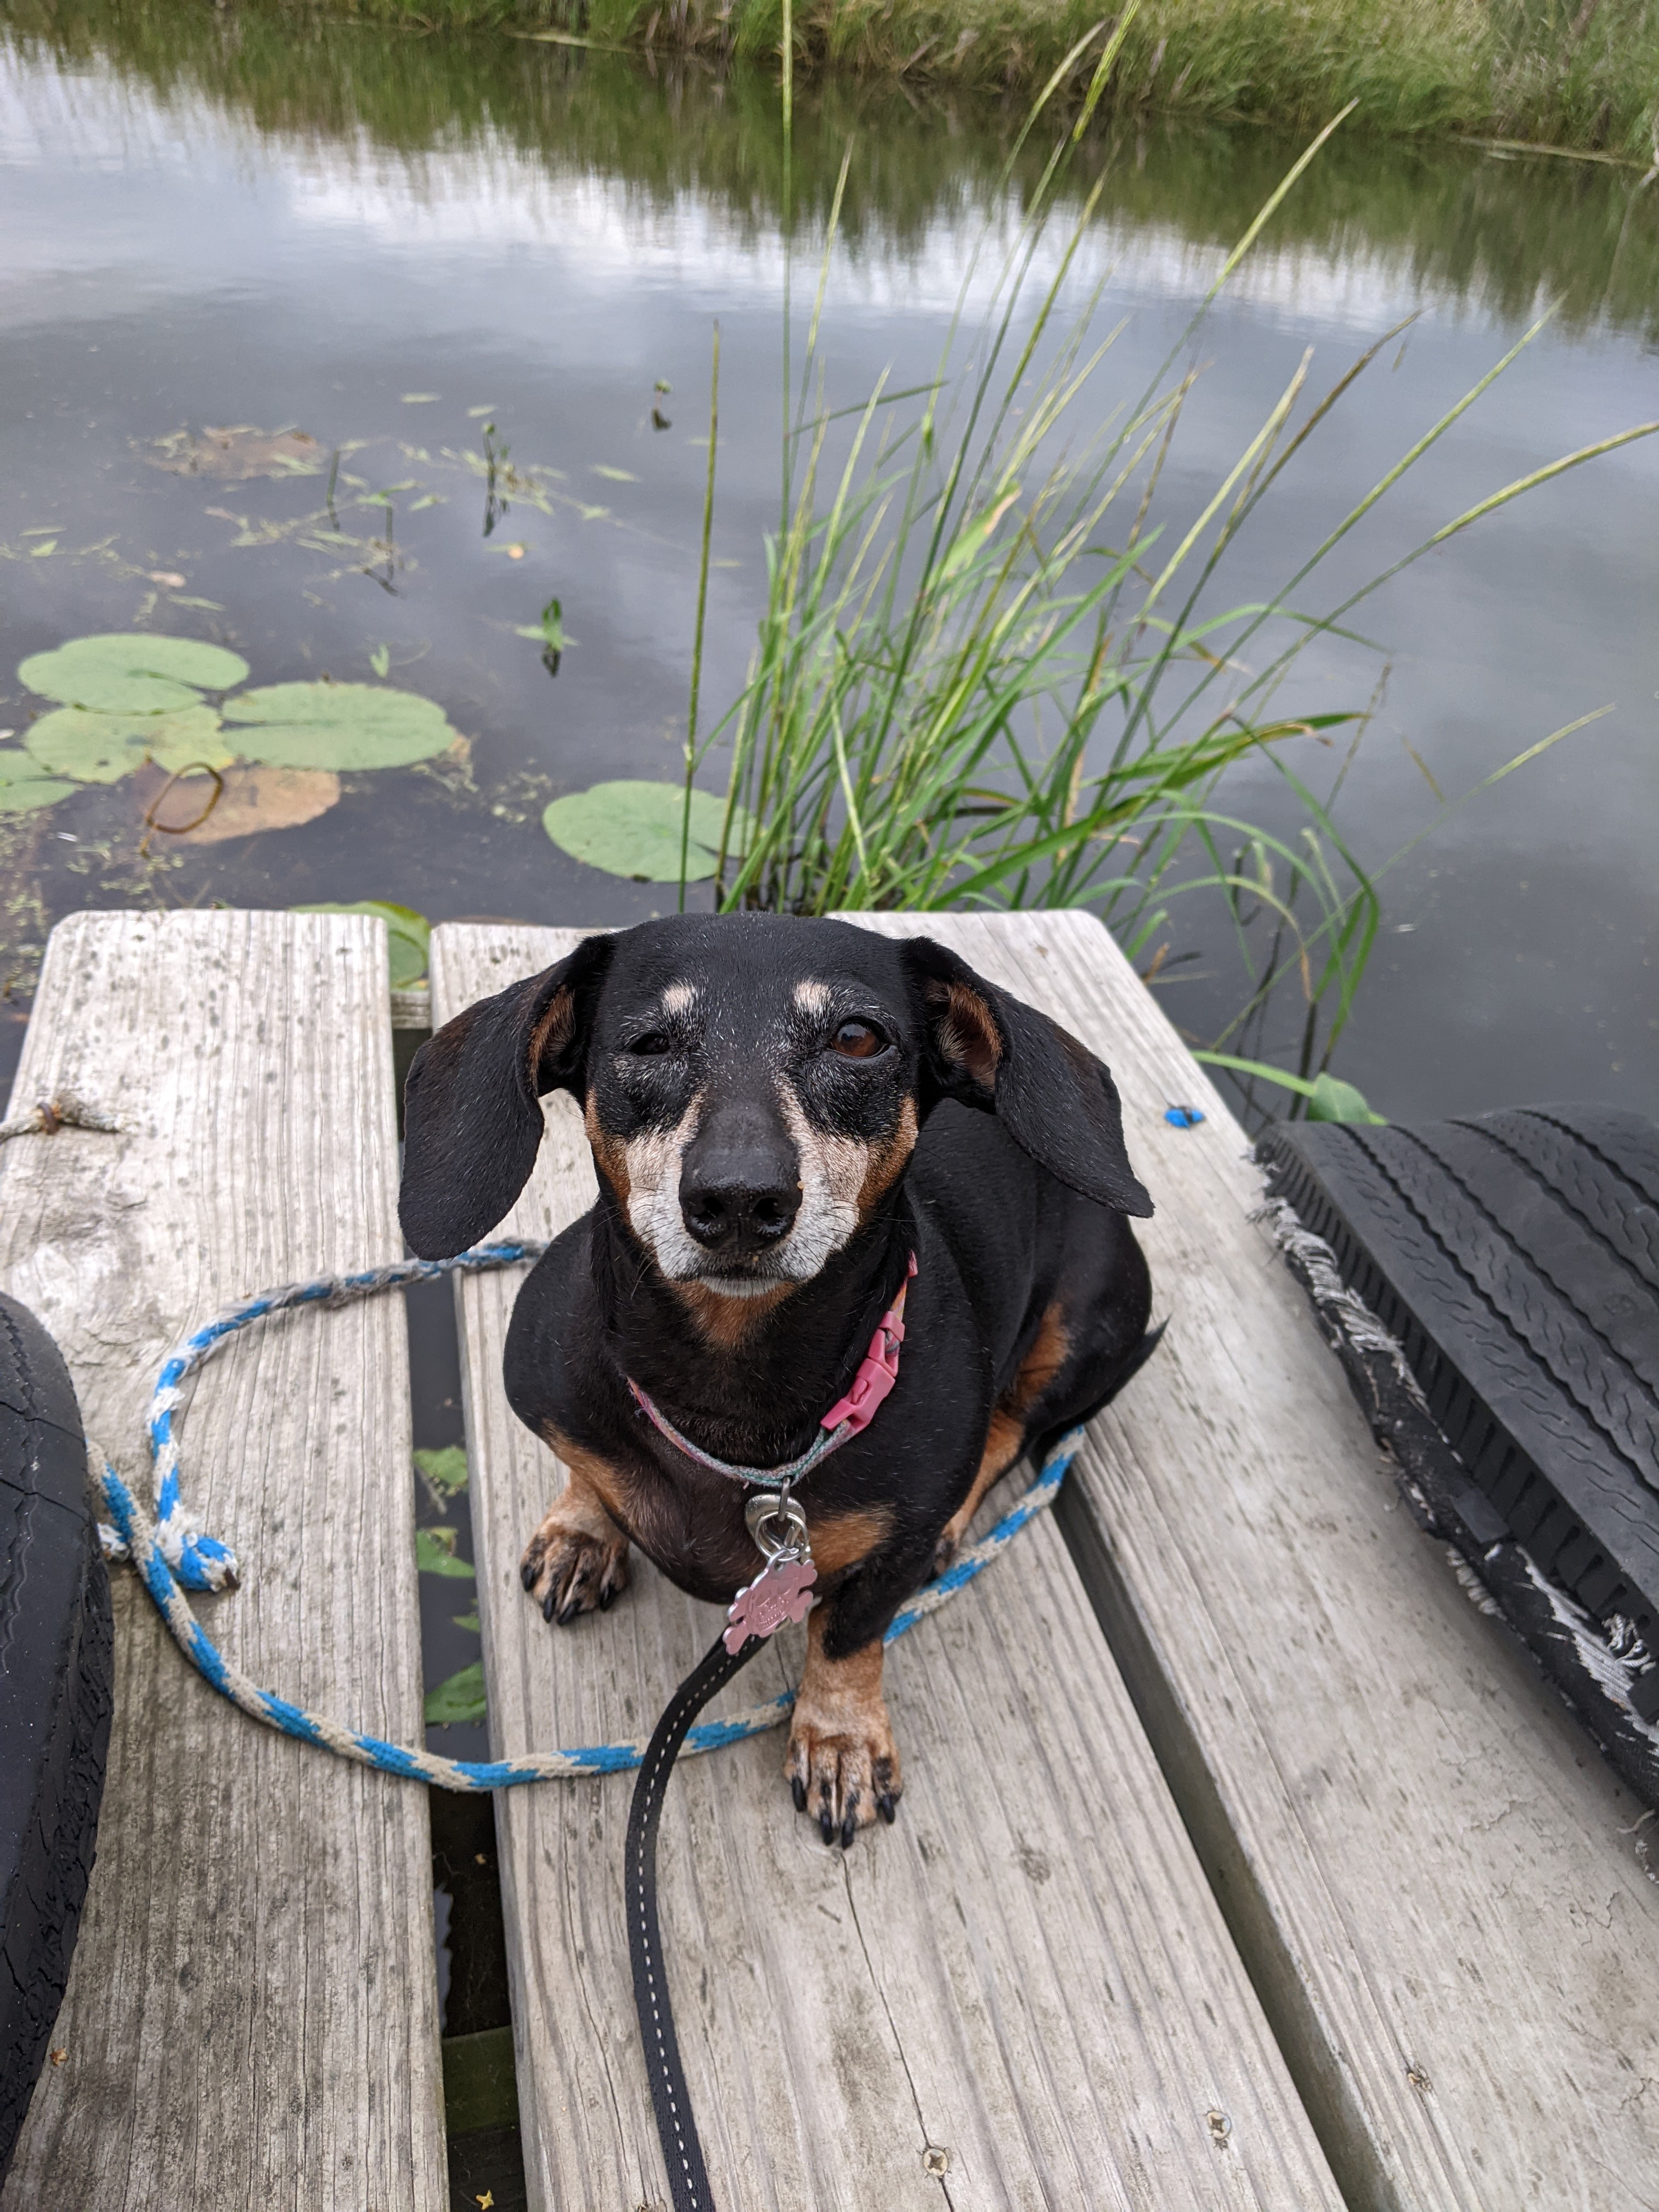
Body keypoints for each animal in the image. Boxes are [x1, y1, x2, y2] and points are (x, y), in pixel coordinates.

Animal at [399, 914, 1157, 1846]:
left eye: (858, 1038)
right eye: (646, 1043)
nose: (737, 1199)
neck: (733, 1399)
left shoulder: (885, 1566)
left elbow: (848, 1635)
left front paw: (839, 1741)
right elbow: (587, 1464)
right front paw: (585, 1528)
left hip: (1089, 1319)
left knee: (1014, 1422)